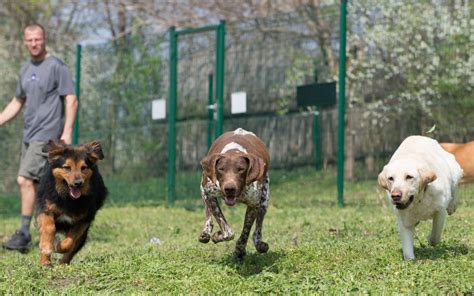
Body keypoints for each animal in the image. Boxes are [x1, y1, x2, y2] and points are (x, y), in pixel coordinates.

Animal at [36, 140, 108, 268]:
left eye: (83, 168)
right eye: (67, 168)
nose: (78, 183)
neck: (68, 198)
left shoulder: (84, 219)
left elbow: (71, 240)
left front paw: (59, 247)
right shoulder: (45, 207)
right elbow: (49, 227)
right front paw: (46, 247)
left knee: (74, 247)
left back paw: (63, 263)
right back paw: (45, 262)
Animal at [197, 127, 270, 260]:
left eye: (241, 169)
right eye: (221, 169)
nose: (229, 188)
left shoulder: (253, 205)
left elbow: (245, 232)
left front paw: (239, 250)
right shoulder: (208, 192)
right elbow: (228, 232)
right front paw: (217, 235)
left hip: (264, 201)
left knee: (257, 230)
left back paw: (259, 244)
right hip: (203, 189)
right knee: (208, 213)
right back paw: (206, 232)